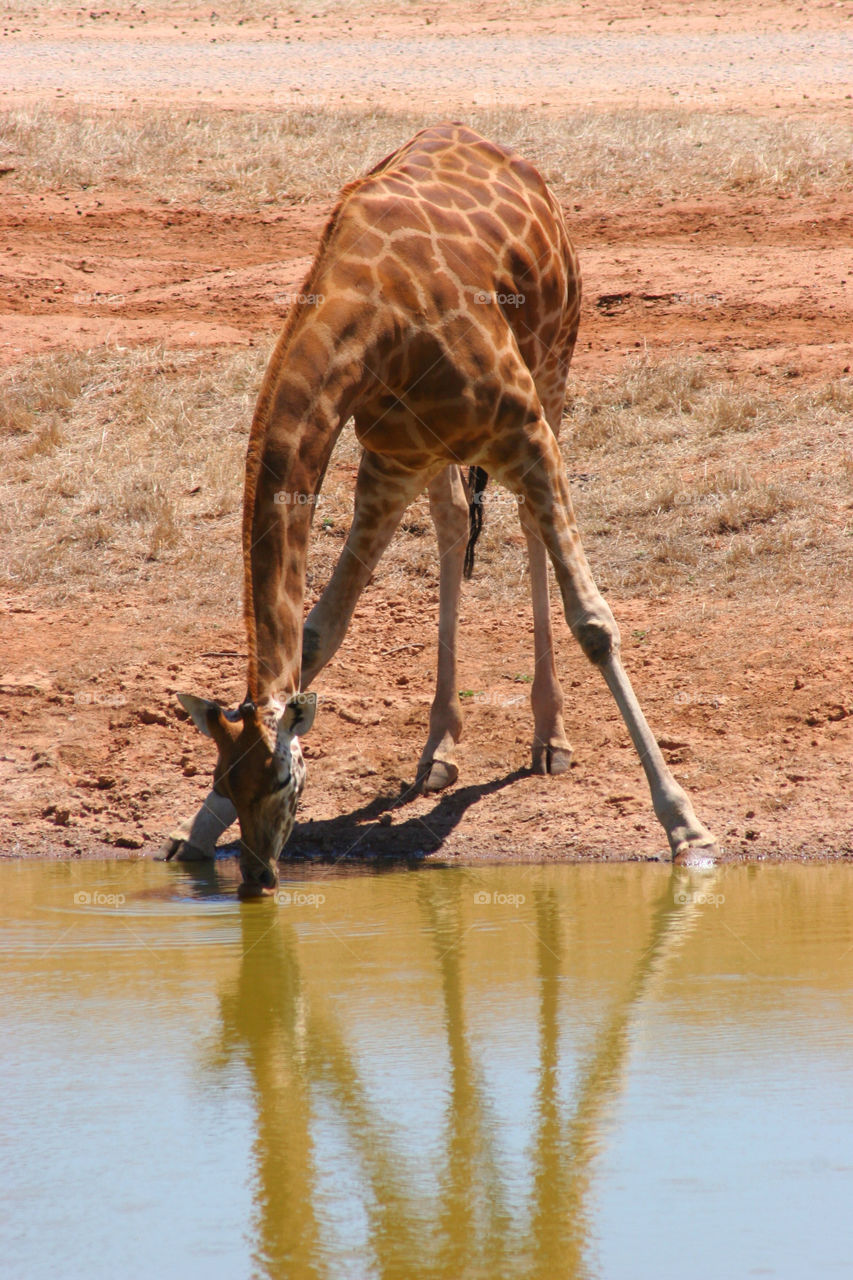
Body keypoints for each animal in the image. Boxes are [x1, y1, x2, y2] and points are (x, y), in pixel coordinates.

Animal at [163, 124, 712, 896]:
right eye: (226, 779)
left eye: (284, 782)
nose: (258, 880)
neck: (373, 322)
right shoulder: (389, 464)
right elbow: (317, 634)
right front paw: (194, 832)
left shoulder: (522, 433)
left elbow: (595, 624)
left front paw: (685, 826)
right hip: (434, 452)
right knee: (455, 521)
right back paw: (440, 749)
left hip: (554, 369)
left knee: (528, 528)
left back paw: (550, 740)